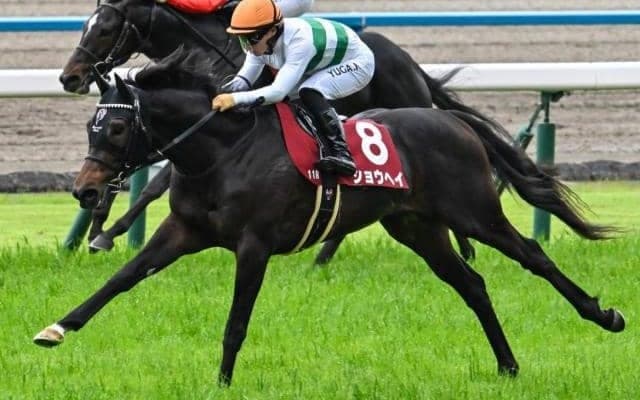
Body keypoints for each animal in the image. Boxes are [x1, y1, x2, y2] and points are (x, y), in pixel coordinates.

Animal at [34, 50, 625, 386]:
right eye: (90, 126)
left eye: (115, 129)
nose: (86, 190)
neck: (221, 152)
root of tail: (453, 121)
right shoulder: (183, 231)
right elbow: (120, 280)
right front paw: (56, 328)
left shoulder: (255, 243)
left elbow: (236, 321)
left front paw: (222, 381)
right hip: (417, 227)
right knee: (473, 285)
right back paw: (507, 366)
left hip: (475, 213)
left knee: (534, 256)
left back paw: (604, 316)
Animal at [60, 0, 501, 262]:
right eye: (84, 26)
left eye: (104, 29)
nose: (69, 77)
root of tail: (409, 63)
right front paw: (99, 223)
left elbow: (154, 185)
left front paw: (106, 233)